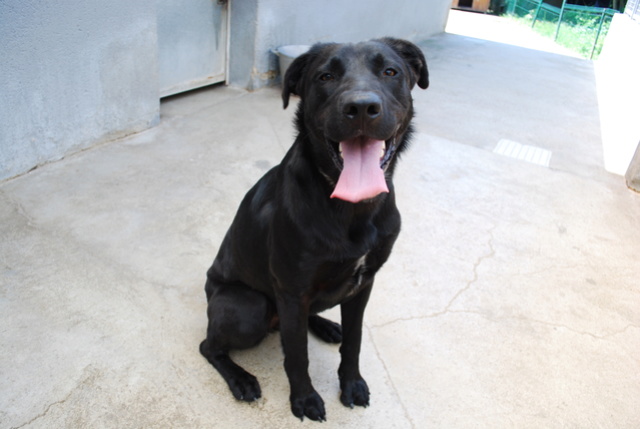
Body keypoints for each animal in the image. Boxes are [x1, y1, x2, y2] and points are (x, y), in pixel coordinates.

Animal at [200, 38, 430, 420]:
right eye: (325, 76)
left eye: (390, 71)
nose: (361, 108)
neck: (353, 209)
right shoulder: (292, 291)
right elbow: (297, 355)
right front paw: (304, 399)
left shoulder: (364, 283)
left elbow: (354, 340)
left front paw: (352, 384)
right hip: (249, 308)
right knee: (209, 345)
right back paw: (241, 379)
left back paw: (325, 325)